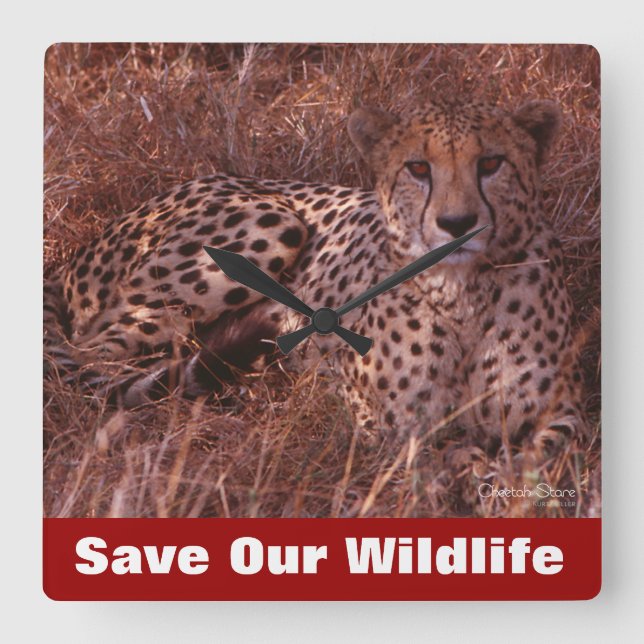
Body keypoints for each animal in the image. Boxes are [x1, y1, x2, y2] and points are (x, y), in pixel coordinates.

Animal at [44, 96, 587, 448]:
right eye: (417, 168)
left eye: (491, 163)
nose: (457, 224)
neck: (462, 294)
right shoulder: (385, 424)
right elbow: (448, 456)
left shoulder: (564, 413)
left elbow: (540, 455)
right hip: (271, 224)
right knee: (92, 358)